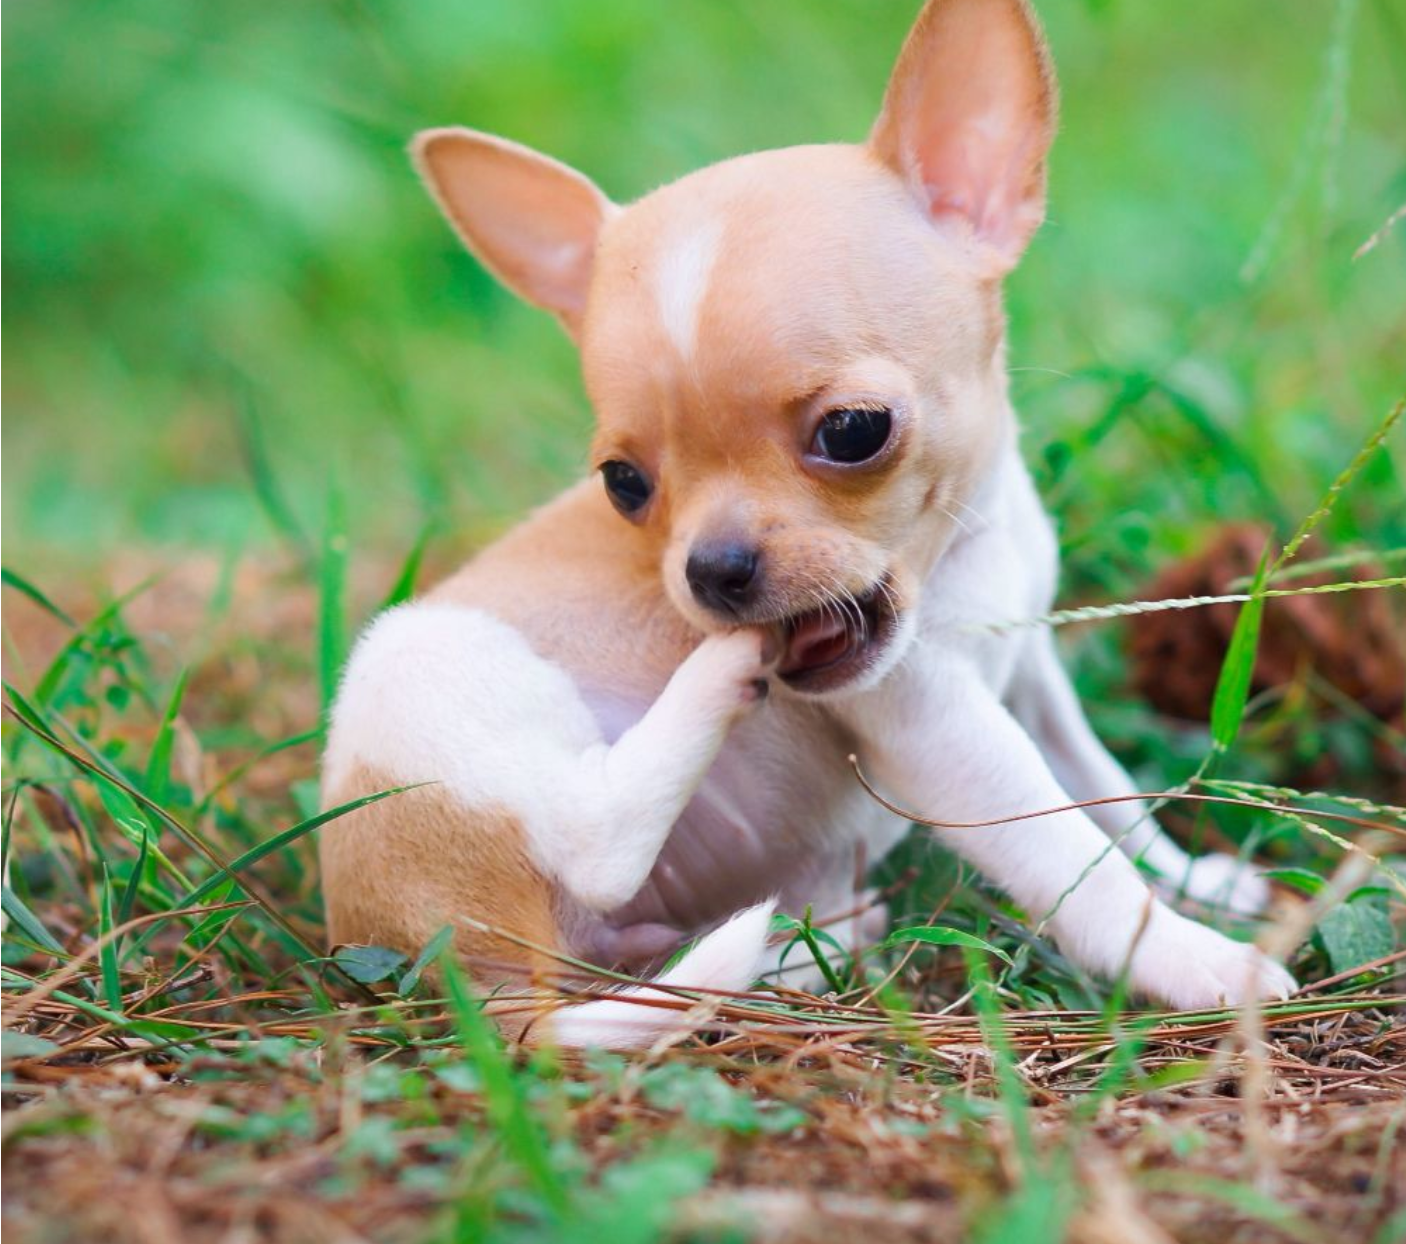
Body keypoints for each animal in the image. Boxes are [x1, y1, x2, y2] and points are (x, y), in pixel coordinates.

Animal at [319, 0, 1293, 1045]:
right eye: (624, 484)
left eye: (853, 432)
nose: (712, 571)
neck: (967, 552)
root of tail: (468, 983)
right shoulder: (943, 728)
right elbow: (1074, 852)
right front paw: (1195, 958)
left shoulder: (1029, 671)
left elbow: (1109, 794)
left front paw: (1200, 880)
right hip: (425, 661)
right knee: (594, 843)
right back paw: (718, 678)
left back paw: (816, 938)